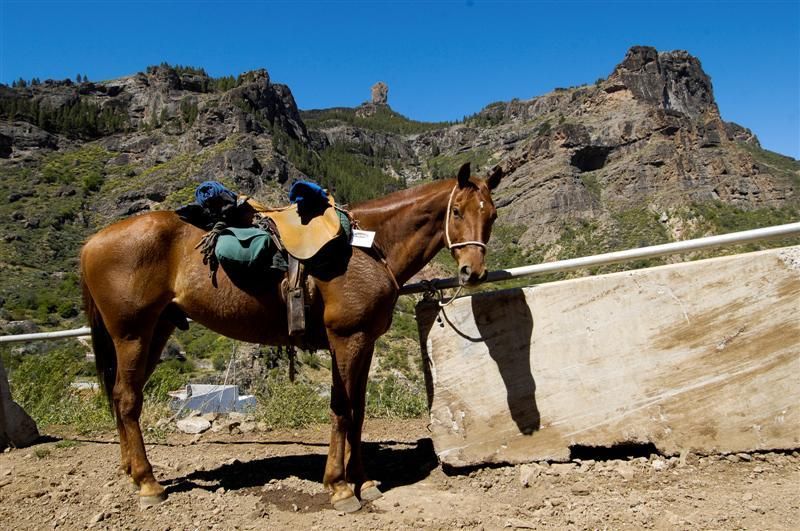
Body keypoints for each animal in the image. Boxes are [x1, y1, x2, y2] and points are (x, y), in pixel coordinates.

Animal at [81, 162, 504, 512]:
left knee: (120, 397)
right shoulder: (347, 339)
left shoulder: (362, 342)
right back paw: (148, 484)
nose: (473, 271)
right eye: (456, 211)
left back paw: (131, 471)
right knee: (128, 400)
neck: (370, 247)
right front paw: (339, 488)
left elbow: (357, 411)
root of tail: (92, 243)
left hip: (156, 332)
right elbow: (343, 410)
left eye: (492, 215)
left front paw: (364, 481)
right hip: (132, 335)